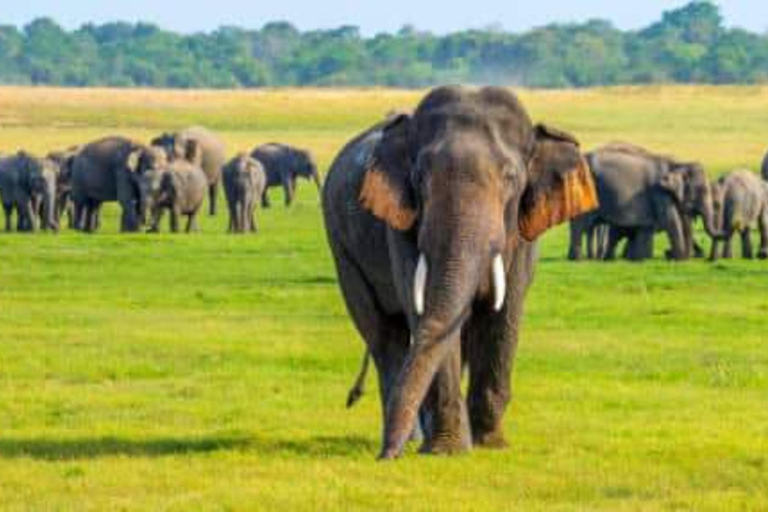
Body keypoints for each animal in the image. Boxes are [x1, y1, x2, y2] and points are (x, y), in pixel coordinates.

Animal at [320, 85, 596, 460]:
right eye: (420, 178)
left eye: (511, 178)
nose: (383, 458)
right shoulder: (402, 223)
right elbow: (425, 311)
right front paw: (448, 451)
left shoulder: (523, 233)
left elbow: (504, 314)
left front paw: (491, 445)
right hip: (342, 247)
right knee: (384, 334)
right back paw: (411, 439)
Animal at [568, 144, 720, 262]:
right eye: (702, 190)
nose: (667, 252)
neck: (678, 164)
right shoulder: (659, 193)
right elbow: (671, 221)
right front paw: (679, 260)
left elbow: (678, 221)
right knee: (580, 224)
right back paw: (579, 260)